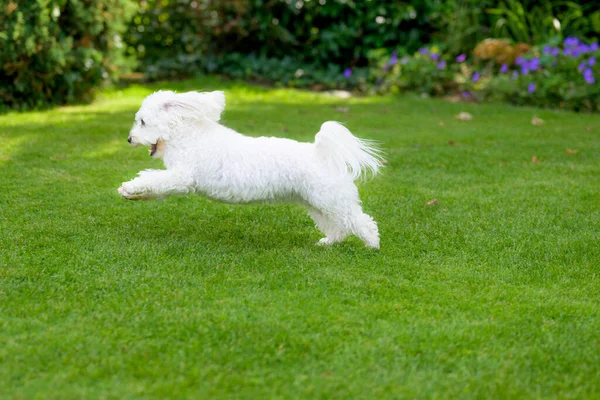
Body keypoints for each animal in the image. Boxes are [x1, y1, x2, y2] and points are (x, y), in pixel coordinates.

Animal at [118, 90, 384, 248]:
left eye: (142, 122)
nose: (130, 139)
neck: (189, 136)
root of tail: (321, 153)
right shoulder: (177, 180)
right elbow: (155, 186)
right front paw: (132, 194)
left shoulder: (182, 177)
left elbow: (155, 180)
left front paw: (129, 187)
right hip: (316, 202)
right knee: (337, 225)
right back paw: (329, 242)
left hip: (331, 199)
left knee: (361, 221)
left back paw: (372, 244)